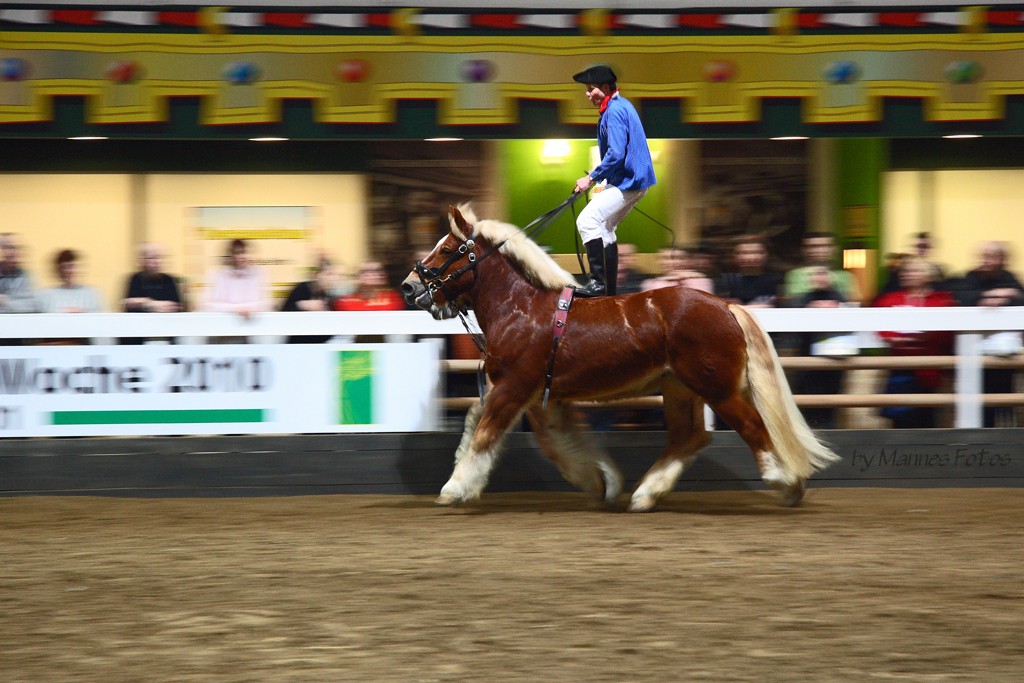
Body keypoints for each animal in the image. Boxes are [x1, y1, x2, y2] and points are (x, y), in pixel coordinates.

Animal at [401, 204, 839, 511]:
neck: (520, 306)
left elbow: (484, 434)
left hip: (717, 388)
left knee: (751, 426)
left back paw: (783, 481)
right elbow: (556, 442)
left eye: (449, 249)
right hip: (680, 388)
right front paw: (601, 481)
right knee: (690, 437)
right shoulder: (539, 396)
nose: (408, 286)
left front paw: (455, 487)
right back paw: (646, 493)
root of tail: (727, 305)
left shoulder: (514, 386)